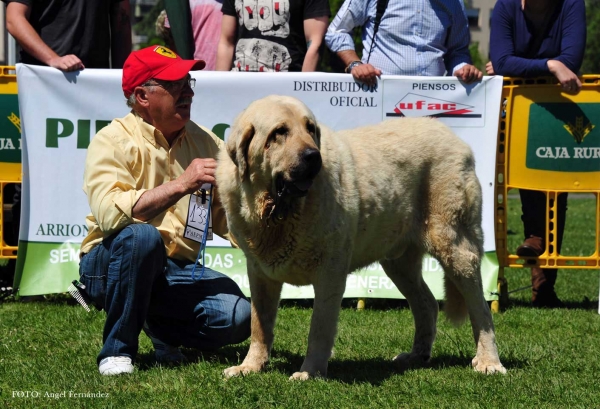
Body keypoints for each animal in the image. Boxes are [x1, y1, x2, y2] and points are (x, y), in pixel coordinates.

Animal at [216, 94, 506, 378]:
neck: (277, 210)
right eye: (279, 132)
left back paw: (489, 362)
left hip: (455, 247)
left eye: (310, 129)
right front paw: (250, 366)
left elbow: (319, 328)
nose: (313, 156)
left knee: (481, 309)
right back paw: (416, 356)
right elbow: (259, 325)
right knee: (427, 304)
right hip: (399, 264)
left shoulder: (329, 273)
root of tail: (455, 138)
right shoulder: (260, 273)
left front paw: (310, 372)